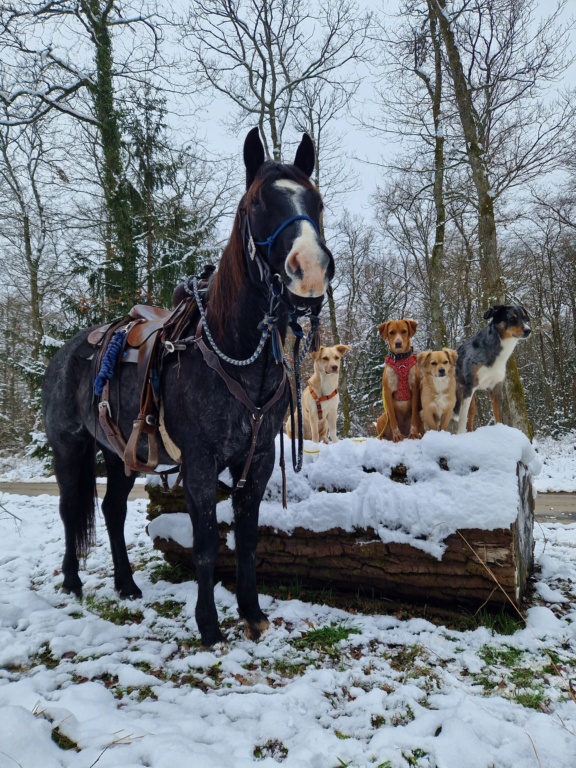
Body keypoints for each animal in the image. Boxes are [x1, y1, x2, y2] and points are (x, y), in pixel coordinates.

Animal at [454, 304, 532, 432]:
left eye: (525, 318)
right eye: (511, 318)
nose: (528, 330)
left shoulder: (496, 388)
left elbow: (498, 417)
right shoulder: (469, 387)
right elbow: (462, 419)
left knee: (471, 414)